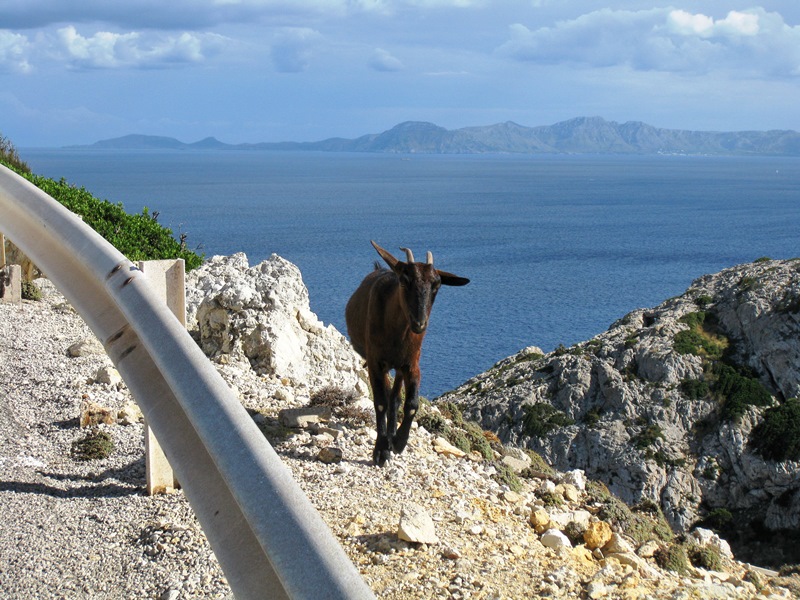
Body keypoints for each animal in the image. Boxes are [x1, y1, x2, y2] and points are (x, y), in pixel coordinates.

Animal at [346, 241, 468, 466]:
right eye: (404, 280)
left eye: (437, 285)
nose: (419, 323)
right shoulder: (376, 363)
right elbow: (380, 403)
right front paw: (381, 450)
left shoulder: (412, 364)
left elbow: (410, 404)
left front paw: (399, 442)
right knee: (388, 397)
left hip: (400, 367)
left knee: (395, 397)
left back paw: (393, 433)